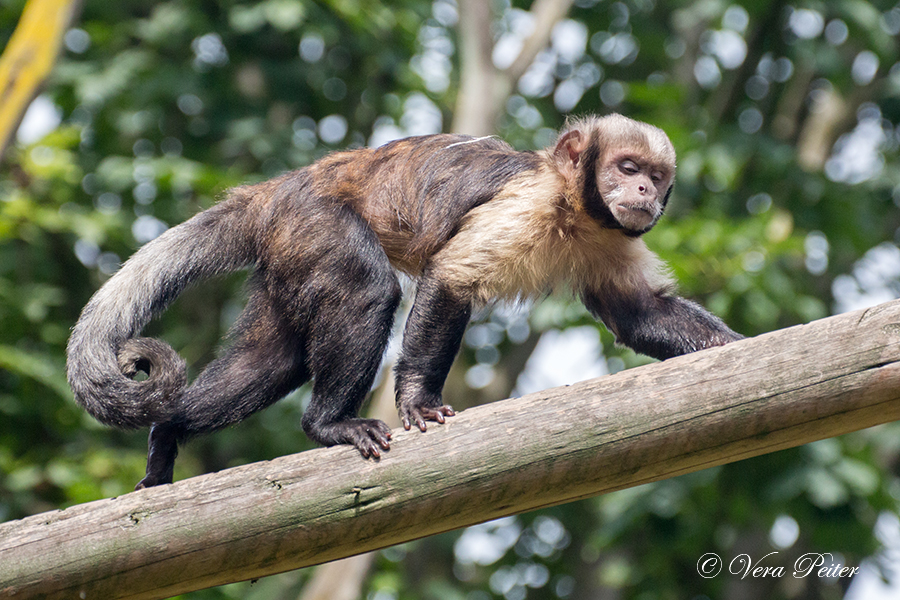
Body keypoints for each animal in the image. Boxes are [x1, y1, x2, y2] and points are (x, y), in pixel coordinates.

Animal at [68, 115, 744, 490]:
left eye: (655, 177)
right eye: (627, 167)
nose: (644, 192)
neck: (574, 207)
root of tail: (273, 192)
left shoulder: (610, 236)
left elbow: (639, 314)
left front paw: (740, 349)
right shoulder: (527, 204)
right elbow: (450, 276)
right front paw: (419, 400)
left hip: (288, 250)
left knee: (270, 360)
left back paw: (170, 431)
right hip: (313, 222)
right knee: (368, 288)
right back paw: (328, 424)